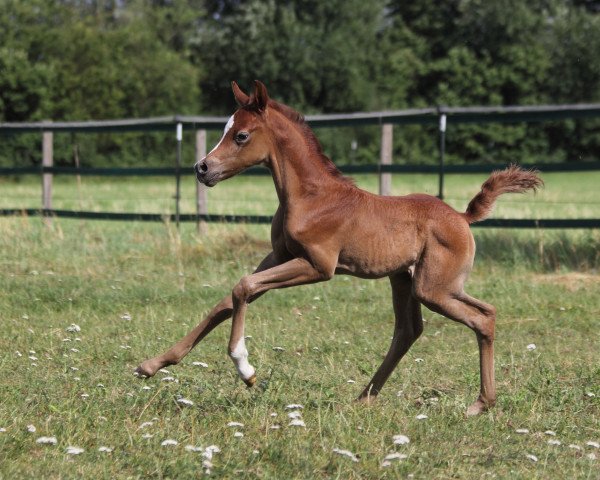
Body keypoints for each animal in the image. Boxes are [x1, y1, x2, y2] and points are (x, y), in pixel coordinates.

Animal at [137, 80, 544, 414]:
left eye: (241, 135)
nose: (202, 169)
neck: (311, 197)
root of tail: (462, 216)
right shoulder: (279, 256)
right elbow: (227, 300)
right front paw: (152, 365)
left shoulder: (318, 265)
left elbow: (243, 287)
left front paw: (246, 368)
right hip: (411, 281)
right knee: (415, 329)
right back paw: (365, 398)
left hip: (435, 287)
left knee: (481, 318)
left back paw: (480, 404)